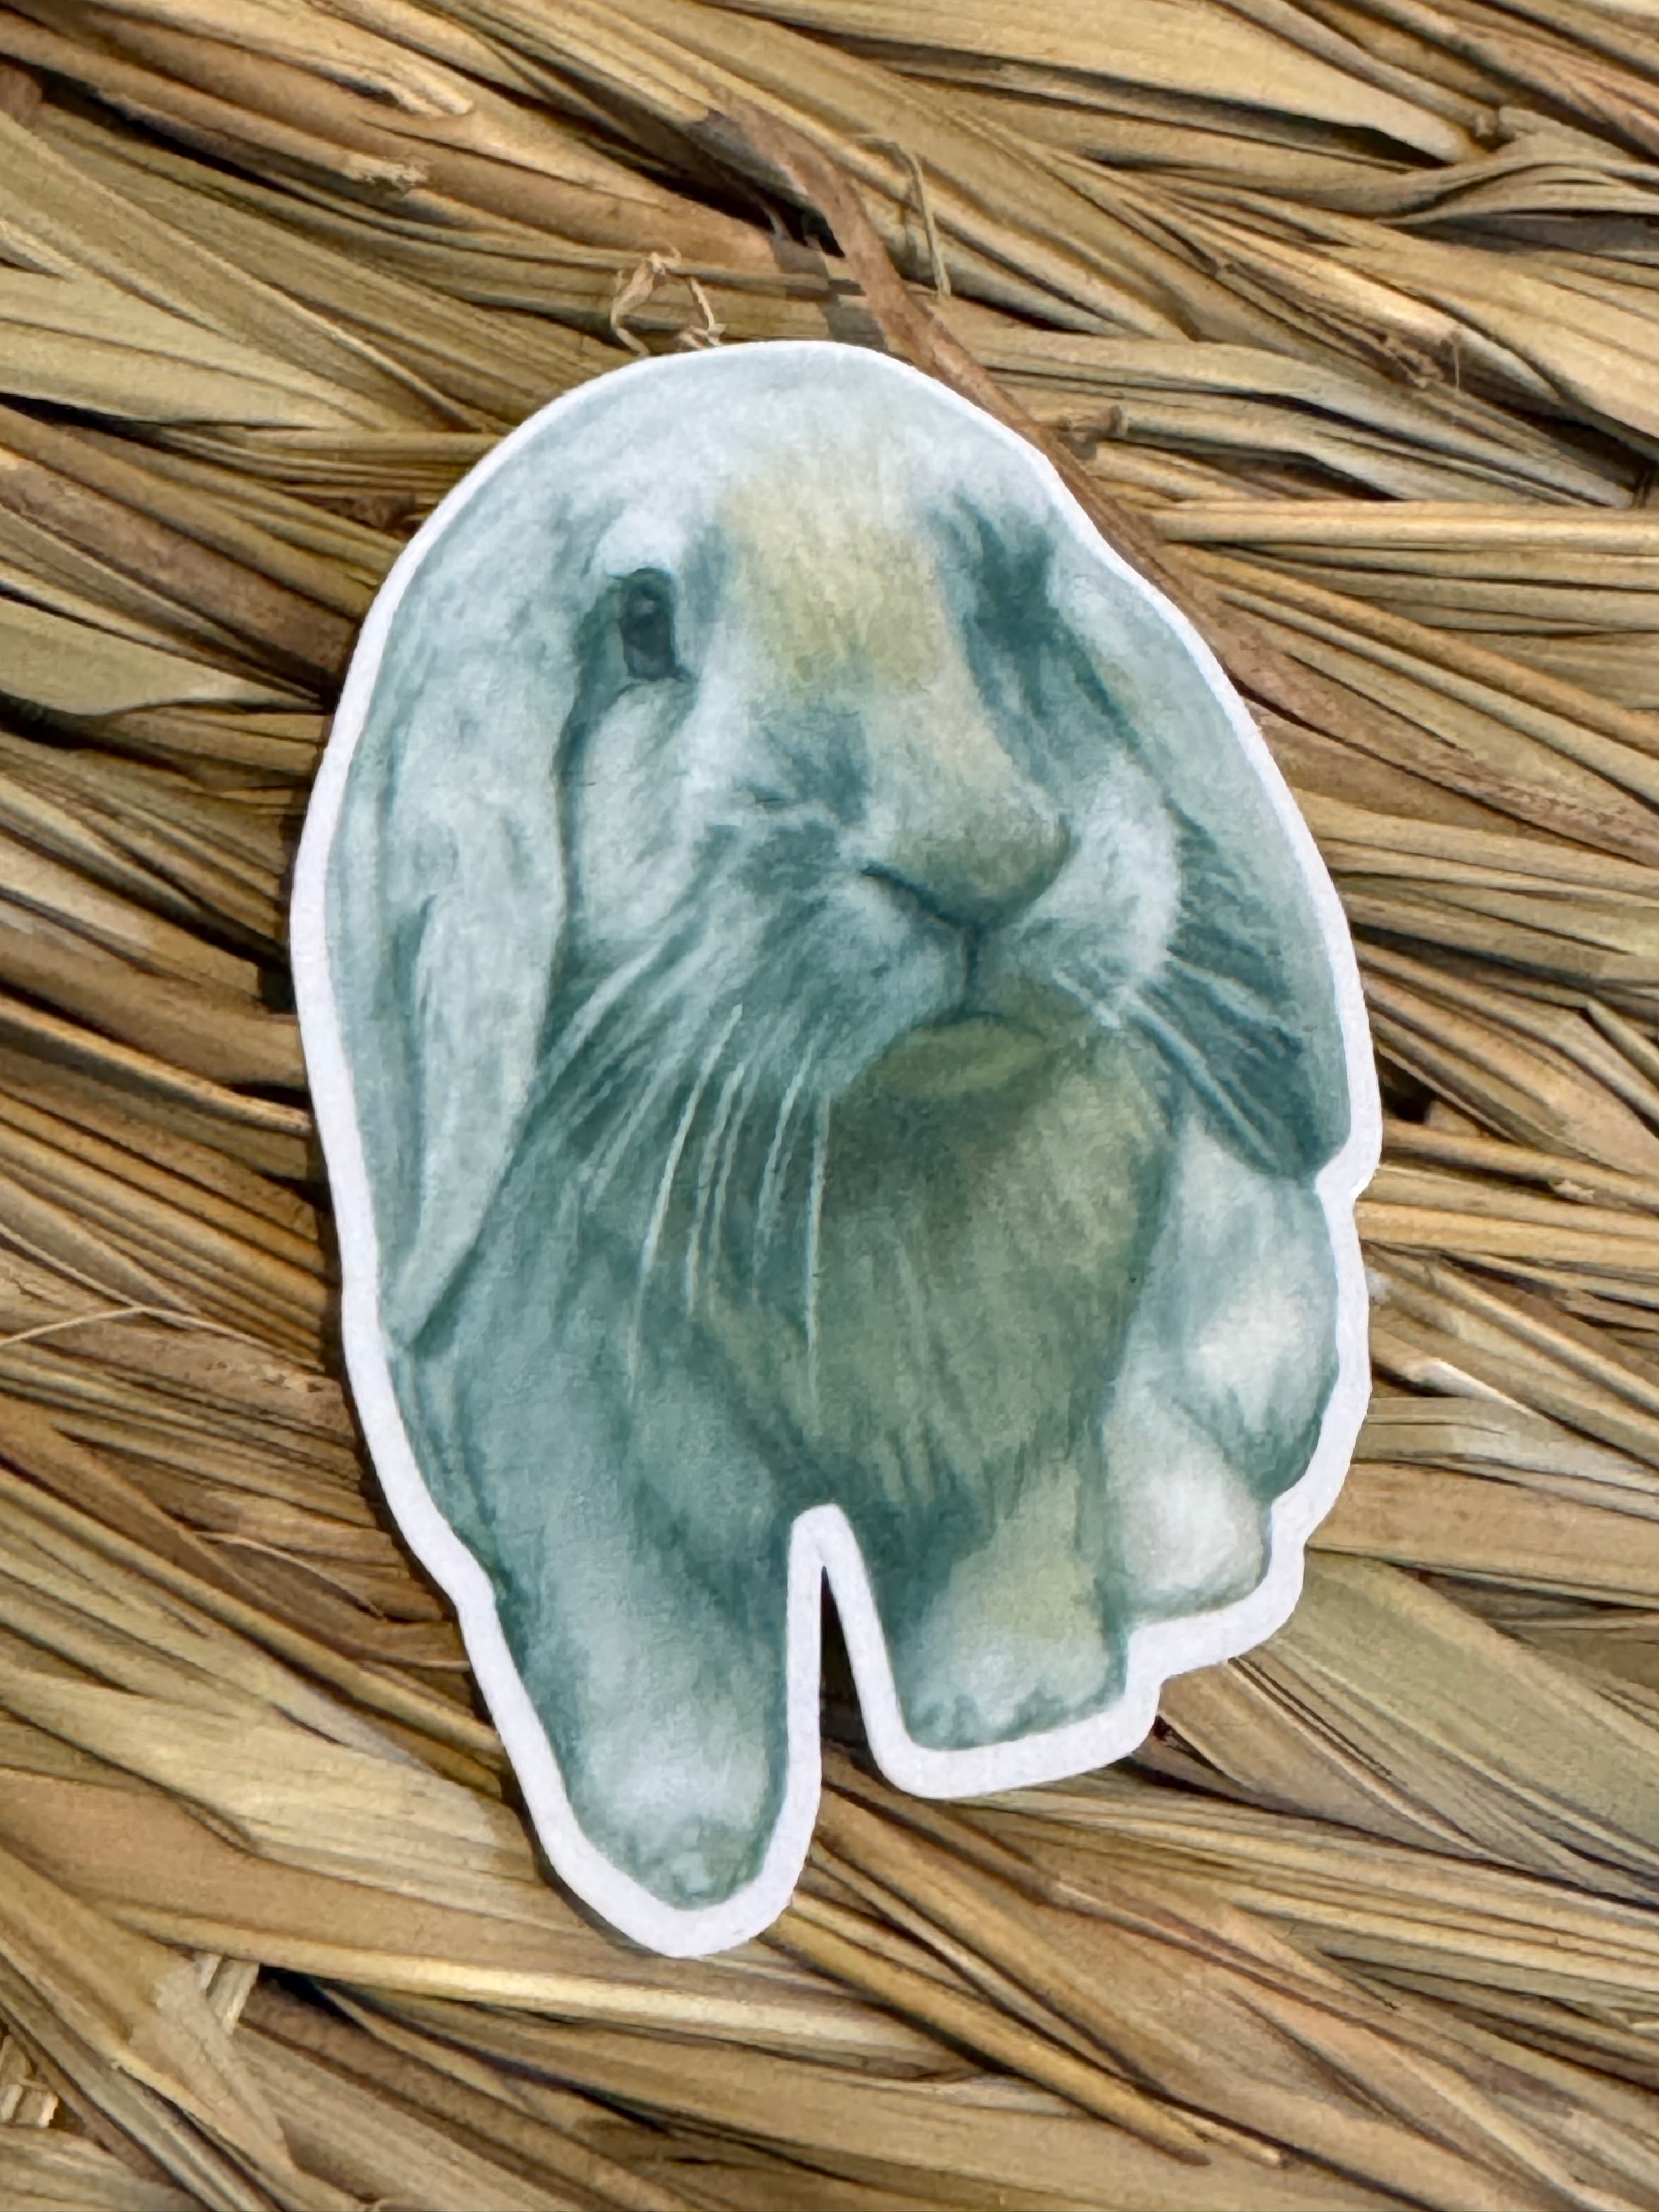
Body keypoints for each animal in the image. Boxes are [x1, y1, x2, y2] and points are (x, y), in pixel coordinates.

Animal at [295, 341, 1377, 1954]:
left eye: (1014, 597)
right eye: (642, 625)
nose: (981, 867)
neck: (874, 1138)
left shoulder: (1025, 1435)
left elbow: (1009, 1566)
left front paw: (1016, 1713)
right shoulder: (593, 1470)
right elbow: (657, 1653)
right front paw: (676, 1862)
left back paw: (1187, 1566)